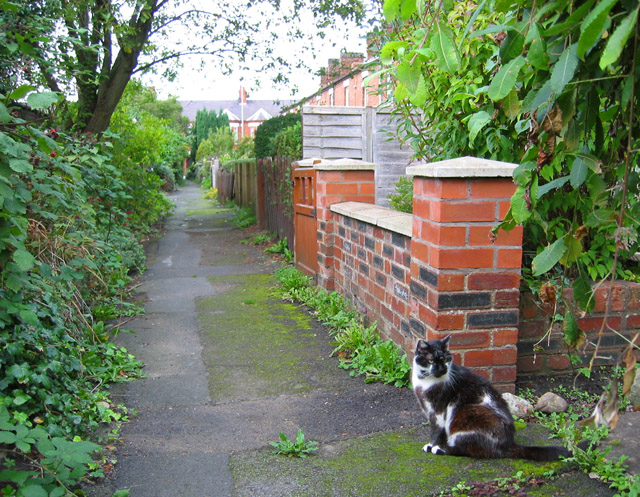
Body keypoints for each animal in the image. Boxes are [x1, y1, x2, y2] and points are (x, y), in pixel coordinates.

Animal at [416, 336, 568, 460]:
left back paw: (441, 450)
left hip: (467, 413)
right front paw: (431, 444)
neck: (425, 382)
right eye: (431, 360)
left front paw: (433, 445)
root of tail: (507, 444)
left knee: (468, 450)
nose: (442, 370)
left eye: (445, 360)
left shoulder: (439, 410)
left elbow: (437, 430)